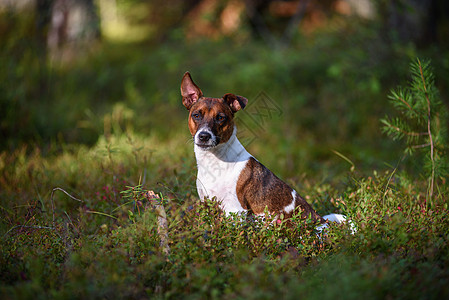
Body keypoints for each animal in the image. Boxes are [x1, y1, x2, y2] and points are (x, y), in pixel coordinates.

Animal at [182, 71, 328, 225]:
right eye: (196, 115)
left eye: (221, 118)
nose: (204, 136)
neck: (214, 160)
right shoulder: (208, 203)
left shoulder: (235, 210)